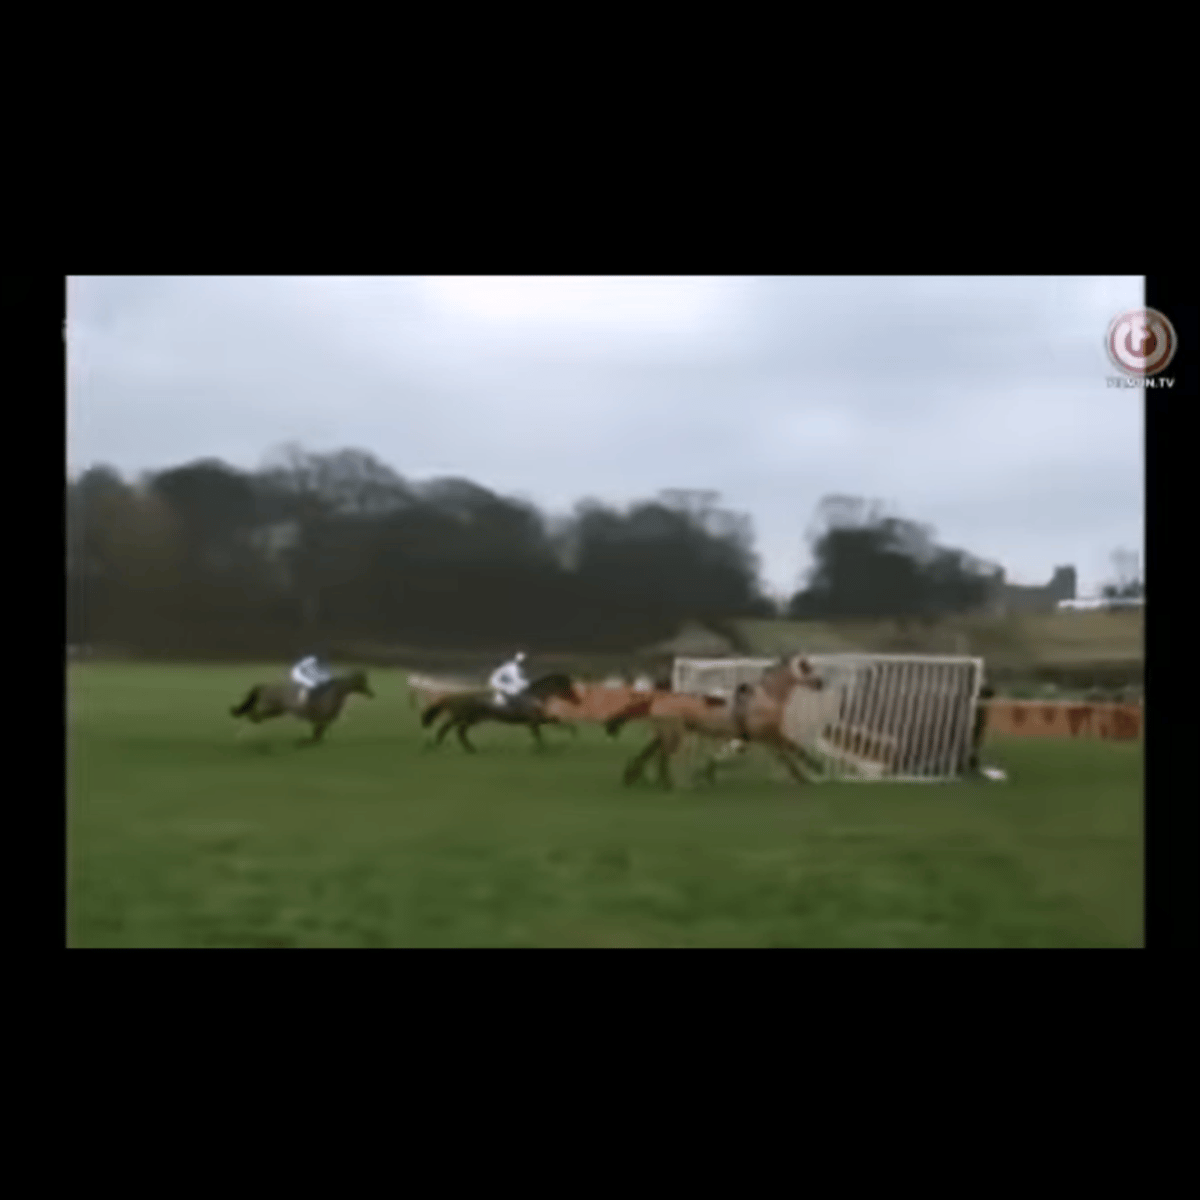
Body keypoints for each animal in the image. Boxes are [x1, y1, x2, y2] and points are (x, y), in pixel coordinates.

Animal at [229, 669, 374, 746]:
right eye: (363, 683)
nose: (372, 694)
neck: (335, 692)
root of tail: (263, 687)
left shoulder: (322, 719)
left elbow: (317, 735)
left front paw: (305, 741)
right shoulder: (321, 718)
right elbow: (316, 735)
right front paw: (305, 741)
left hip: (276, 710)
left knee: (256, 715)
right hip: (271, 707)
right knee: (255, 714)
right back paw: (252, 717)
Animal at [420, 673, 582, 753]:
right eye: (569, 688)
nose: (579, 701)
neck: (534, 696)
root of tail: (450, 698)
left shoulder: (534, 721)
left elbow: (551, 725)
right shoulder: (535, 720)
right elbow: (555, 723)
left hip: (470, 719)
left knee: (457, 730)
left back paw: (467, 748)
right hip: (465, 717)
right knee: (451, 728)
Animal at [615, 655, 829, 790]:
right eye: (806, 667)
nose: (821, 683)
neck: (767, 697)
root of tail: (657, 697)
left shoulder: (765, 737)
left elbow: (790, 752)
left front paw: (808, 773)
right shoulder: (767, 735)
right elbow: (792, 751)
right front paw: (813, 770)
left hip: (669, 732)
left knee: (652, 750)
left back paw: (633, 774)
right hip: (674, 733)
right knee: (661, 756)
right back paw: (665, 783)